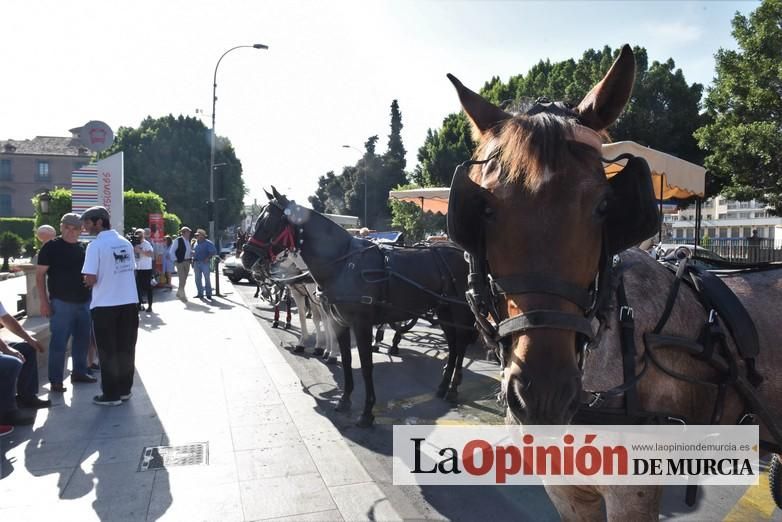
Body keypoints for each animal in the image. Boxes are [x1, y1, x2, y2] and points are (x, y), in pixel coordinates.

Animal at [243, 189, 478, 424]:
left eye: (270, 222)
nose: (246, 257)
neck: (343, 263)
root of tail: (461, 252)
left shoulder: (362, 324)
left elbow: (366, 365)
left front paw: (367, 412)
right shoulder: (340, 323)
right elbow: (347, 360)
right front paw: (344, 400)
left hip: (459, 311)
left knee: (461, 344)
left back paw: (453, 388)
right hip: (443, 310)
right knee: (454, 345)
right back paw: (443, 386)